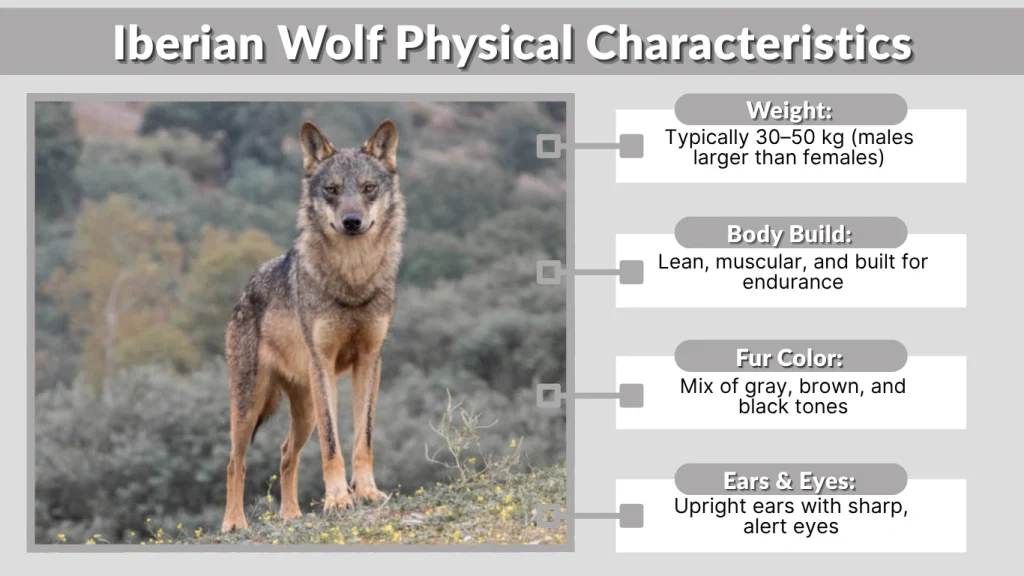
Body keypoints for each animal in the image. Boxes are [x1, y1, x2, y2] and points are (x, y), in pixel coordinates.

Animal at [221, 119, 406, 532]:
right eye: (332, 190)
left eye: (368, 188)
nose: (351, 222)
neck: (352, 280)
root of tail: (244, 291)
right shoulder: (323, 363)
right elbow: (332, 445)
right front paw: (338, 499)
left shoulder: (370, 361)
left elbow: (363, 437)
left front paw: (366, 492)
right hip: (249, 406)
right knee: (234, 462)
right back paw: (234, 523)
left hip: (303, 410)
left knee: (286, 452)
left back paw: (291, 515)